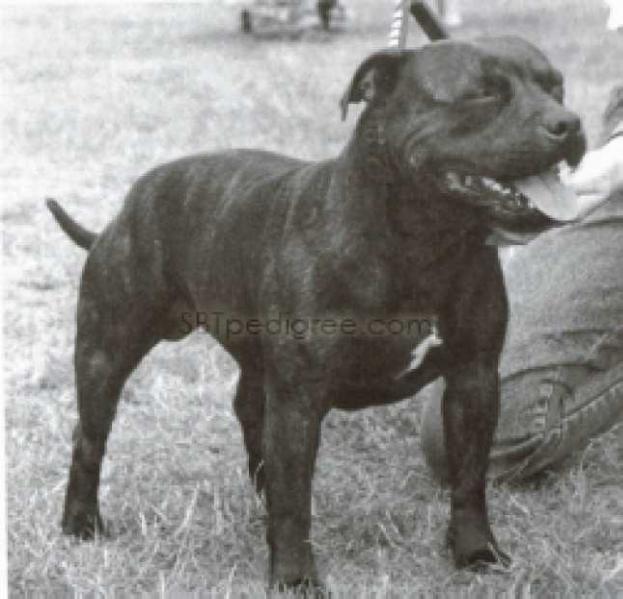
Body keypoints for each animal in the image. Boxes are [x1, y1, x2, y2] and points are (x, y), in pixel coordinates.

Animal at [47, 37, 584, 592]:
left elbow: (470, 479)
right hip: (106, 350)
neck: (420, 245)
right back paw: (81, 523)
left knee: (249, 411)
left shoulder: (474, 381)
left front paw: (477, 551)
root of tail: (135, 198)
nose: (569, 123)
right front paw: (294, 578)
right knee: (89, 436)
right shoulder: (299, 399)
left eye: (557, 87)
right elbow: (294, 501)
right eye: (481, 94)